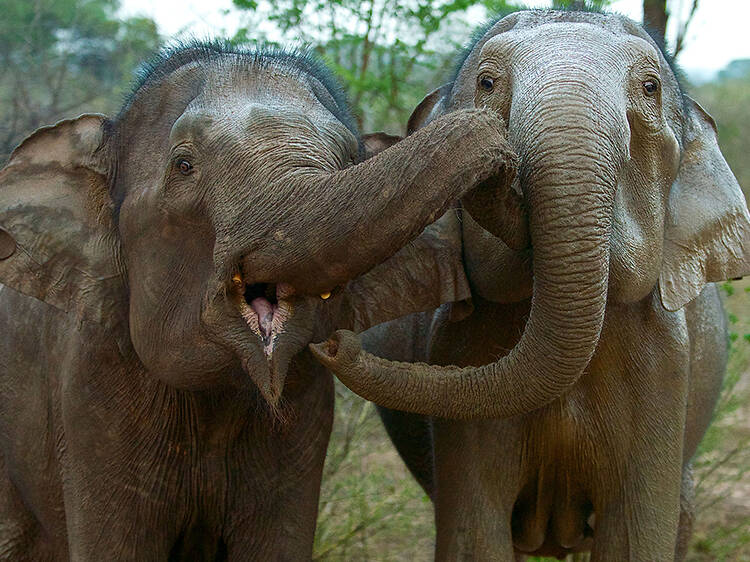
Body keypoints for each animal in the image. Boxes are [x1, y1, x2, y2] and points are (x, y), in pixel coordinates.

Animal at [314, 8, 750, 560]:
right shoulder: (458, 346)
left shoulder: (664, 367)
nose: (333, 344)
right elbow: (475, 534)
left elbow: (635, 535)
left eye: (650, 87)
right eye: (486, 83)